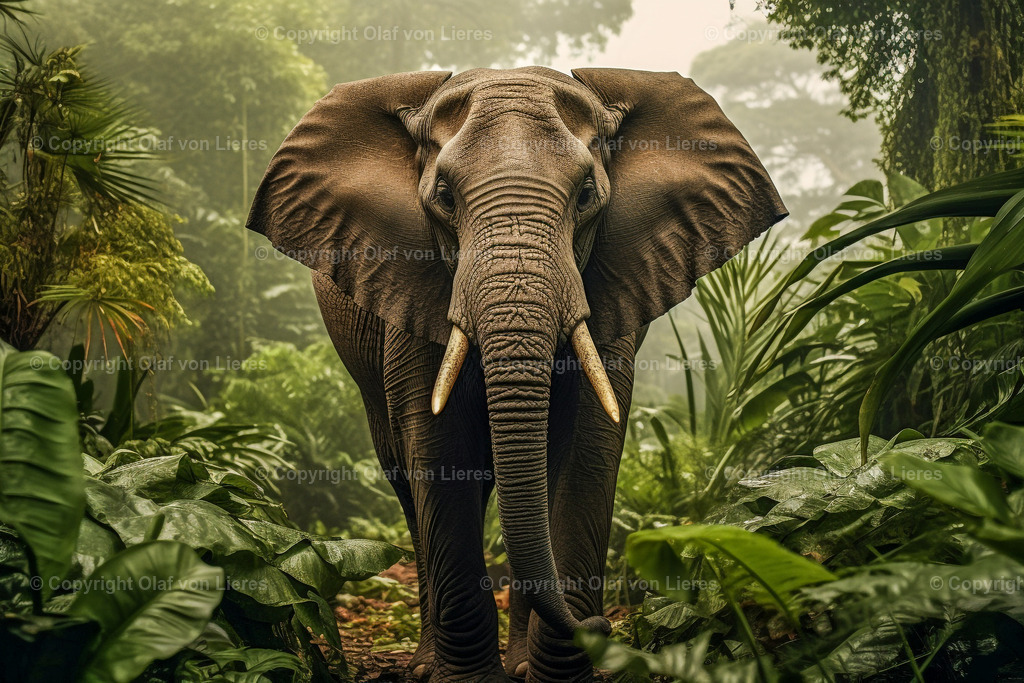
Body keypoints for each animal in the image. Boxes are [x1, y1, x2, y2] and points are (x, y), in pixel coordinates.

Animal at [246, 66, 786, 682]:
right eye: (443, 197)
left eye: (587, 195)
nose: (604, 626)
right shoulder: (408, 280)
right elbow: (437, 447)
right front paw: (469, 680)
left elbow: (586, 446)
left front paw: (554, 673)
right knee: (404, 476)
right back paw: (427, 665)